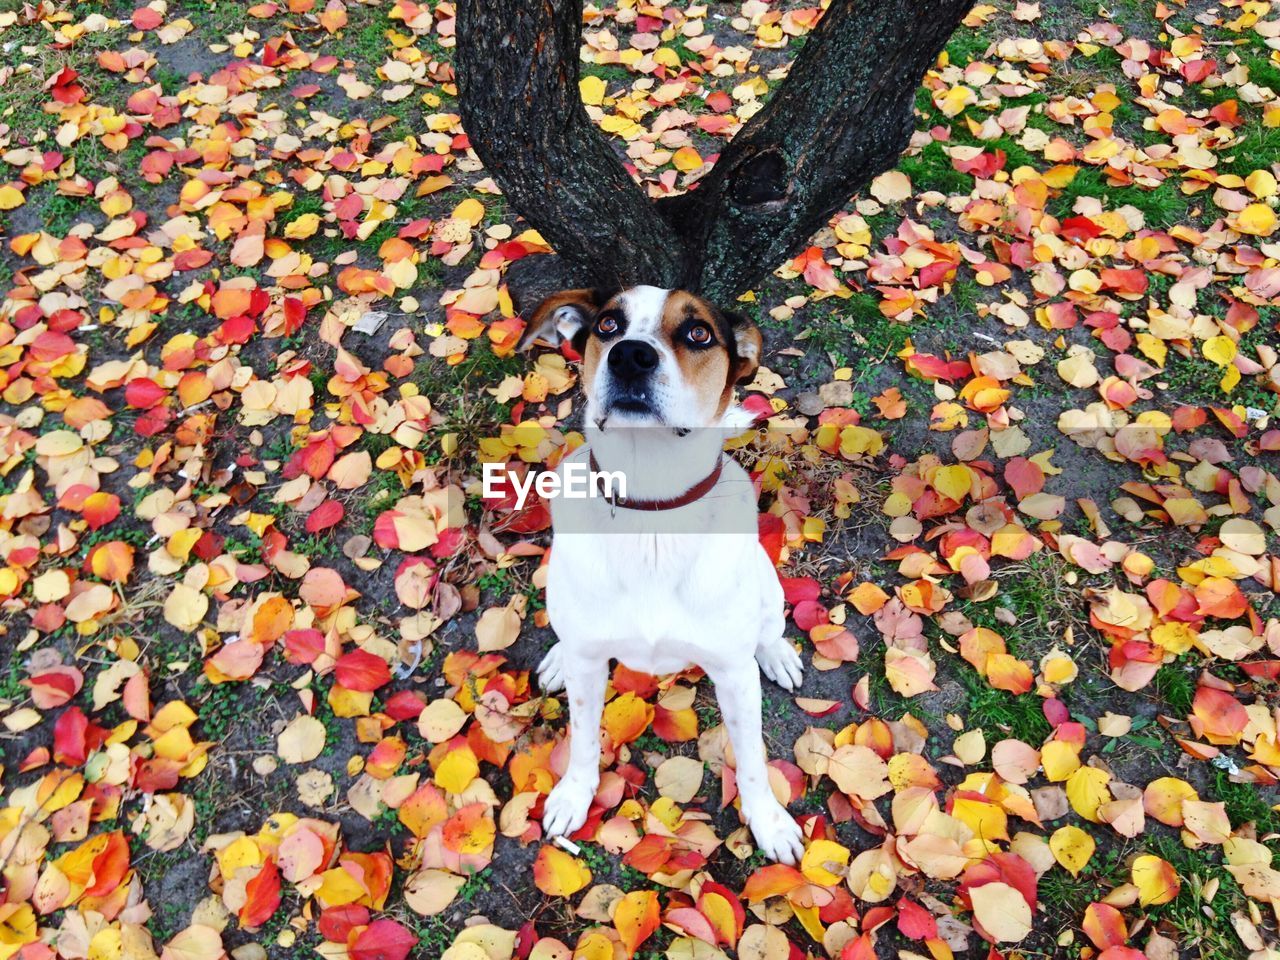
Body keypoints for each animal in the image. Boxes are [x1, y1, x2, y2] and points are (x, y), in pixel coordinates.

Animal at [517, 284, 798, 865]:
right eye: (607, 325)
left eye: (699, 333)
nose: (630, 356)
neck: (651, 512)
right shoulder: (588, 666)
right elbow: (582, 739)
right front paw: (573, 796)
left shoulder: (734, 675)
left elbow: (753, 759)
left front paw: (770, 822)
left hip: (766, 585)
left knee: (769, 626)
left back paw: (777, 652)